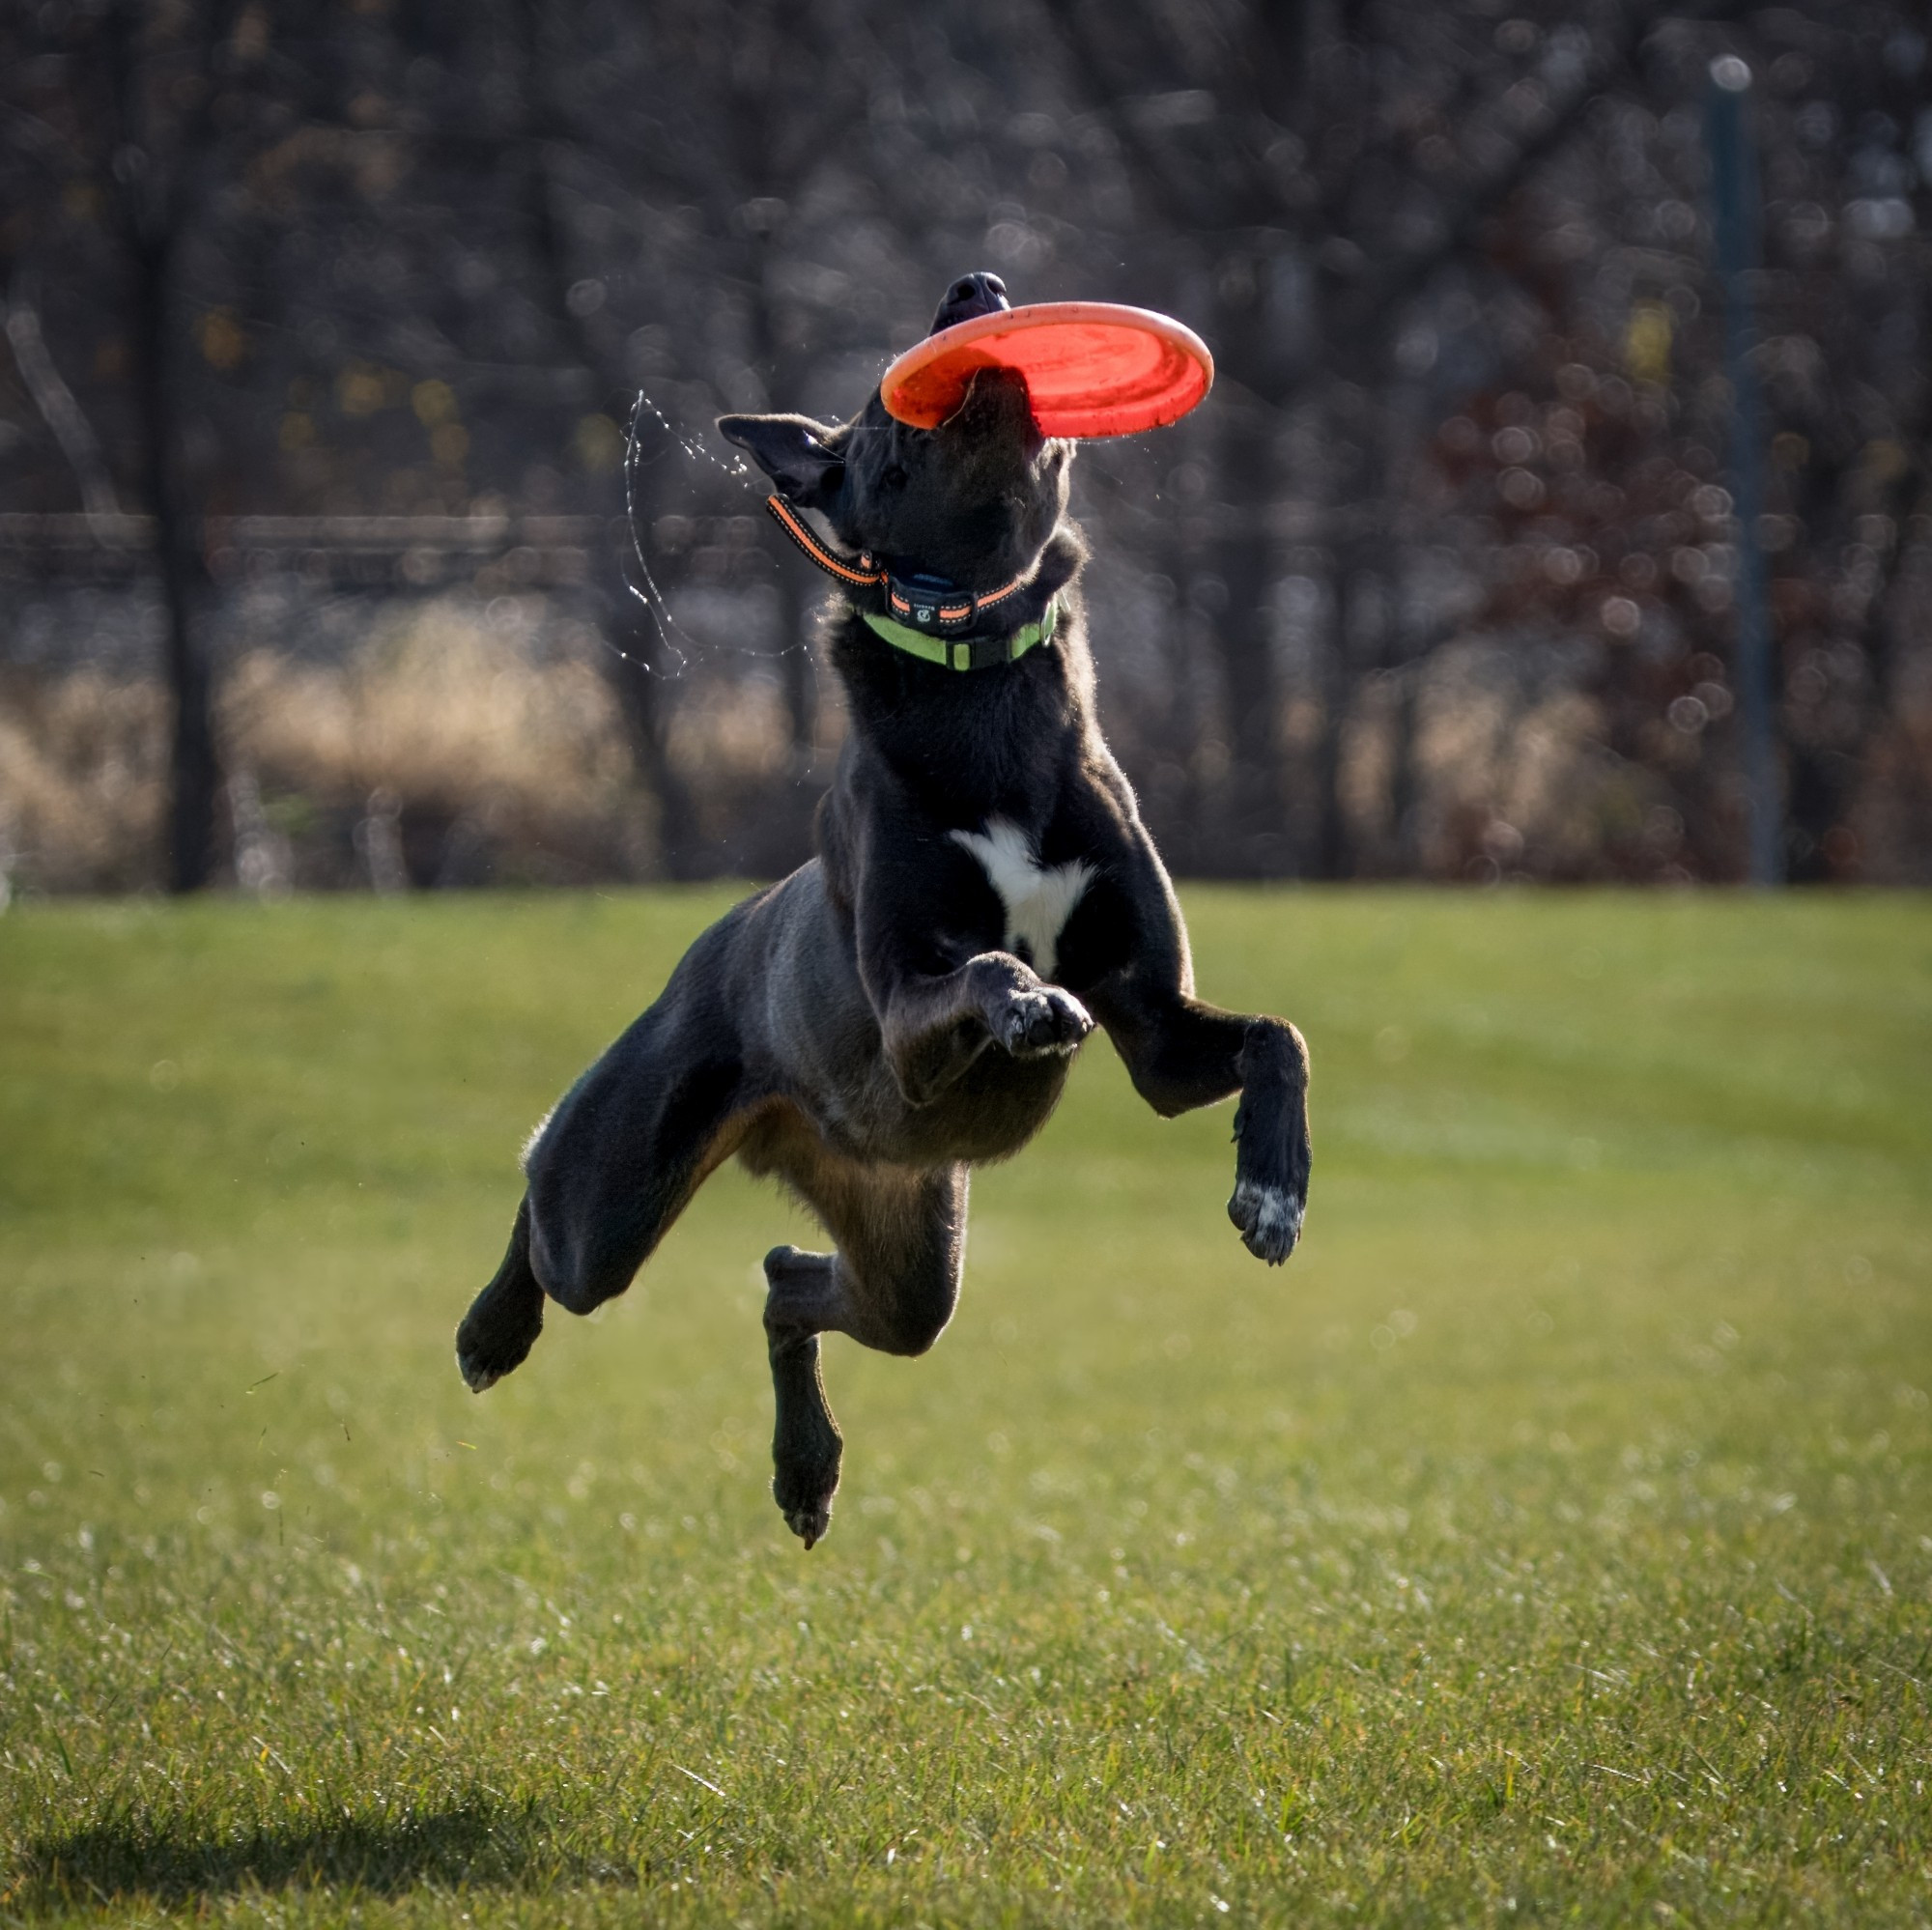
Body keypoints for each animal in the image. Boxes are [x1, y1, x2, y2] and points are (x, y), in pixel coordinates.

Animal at [456, 272, 1314, 1546]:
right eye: (876, 393)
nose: (978, 286)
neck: (980, 673)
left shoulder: (1156, 1028)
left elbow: (1275, 1040)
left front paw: (1271, 1195)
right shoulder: (912, 1013)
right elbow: (985, 968)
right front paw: (1030, 1009)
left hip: (908, 1245)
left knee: (784, 1280)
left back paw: (804, 1471)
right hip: (615, 1193)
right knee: (546, 1209)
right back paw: (490, 1332)